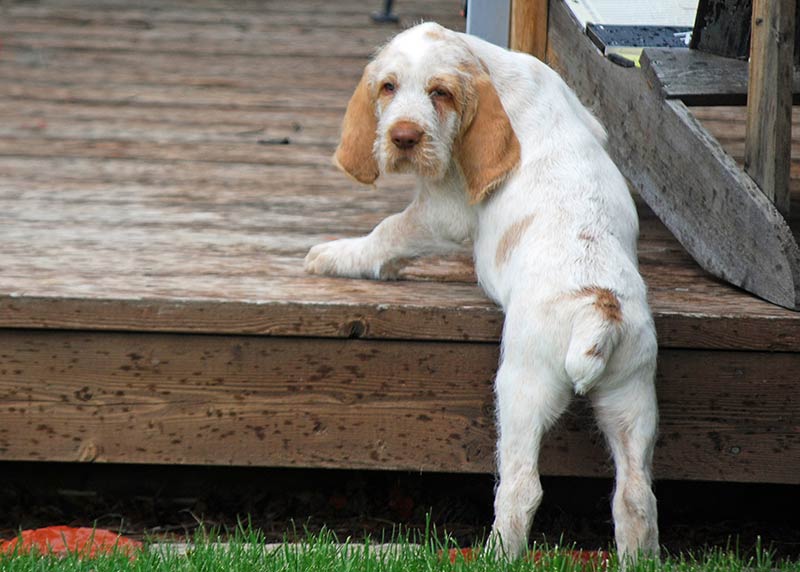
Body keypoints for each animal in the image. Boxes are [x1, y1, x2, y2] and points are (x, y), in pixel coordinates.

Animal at [304, 23, 660, 564]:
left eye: (440, 93)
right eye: (388, 87)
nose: (402, 137)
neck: (495, 71)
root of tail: (601, 308)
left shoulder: (443, 211)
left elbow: (390, 230)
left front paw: (337, 256)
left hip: (522, 388)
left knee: (522, 487)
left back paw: (495, 553)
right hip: (632, 393)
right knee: (637, 495)